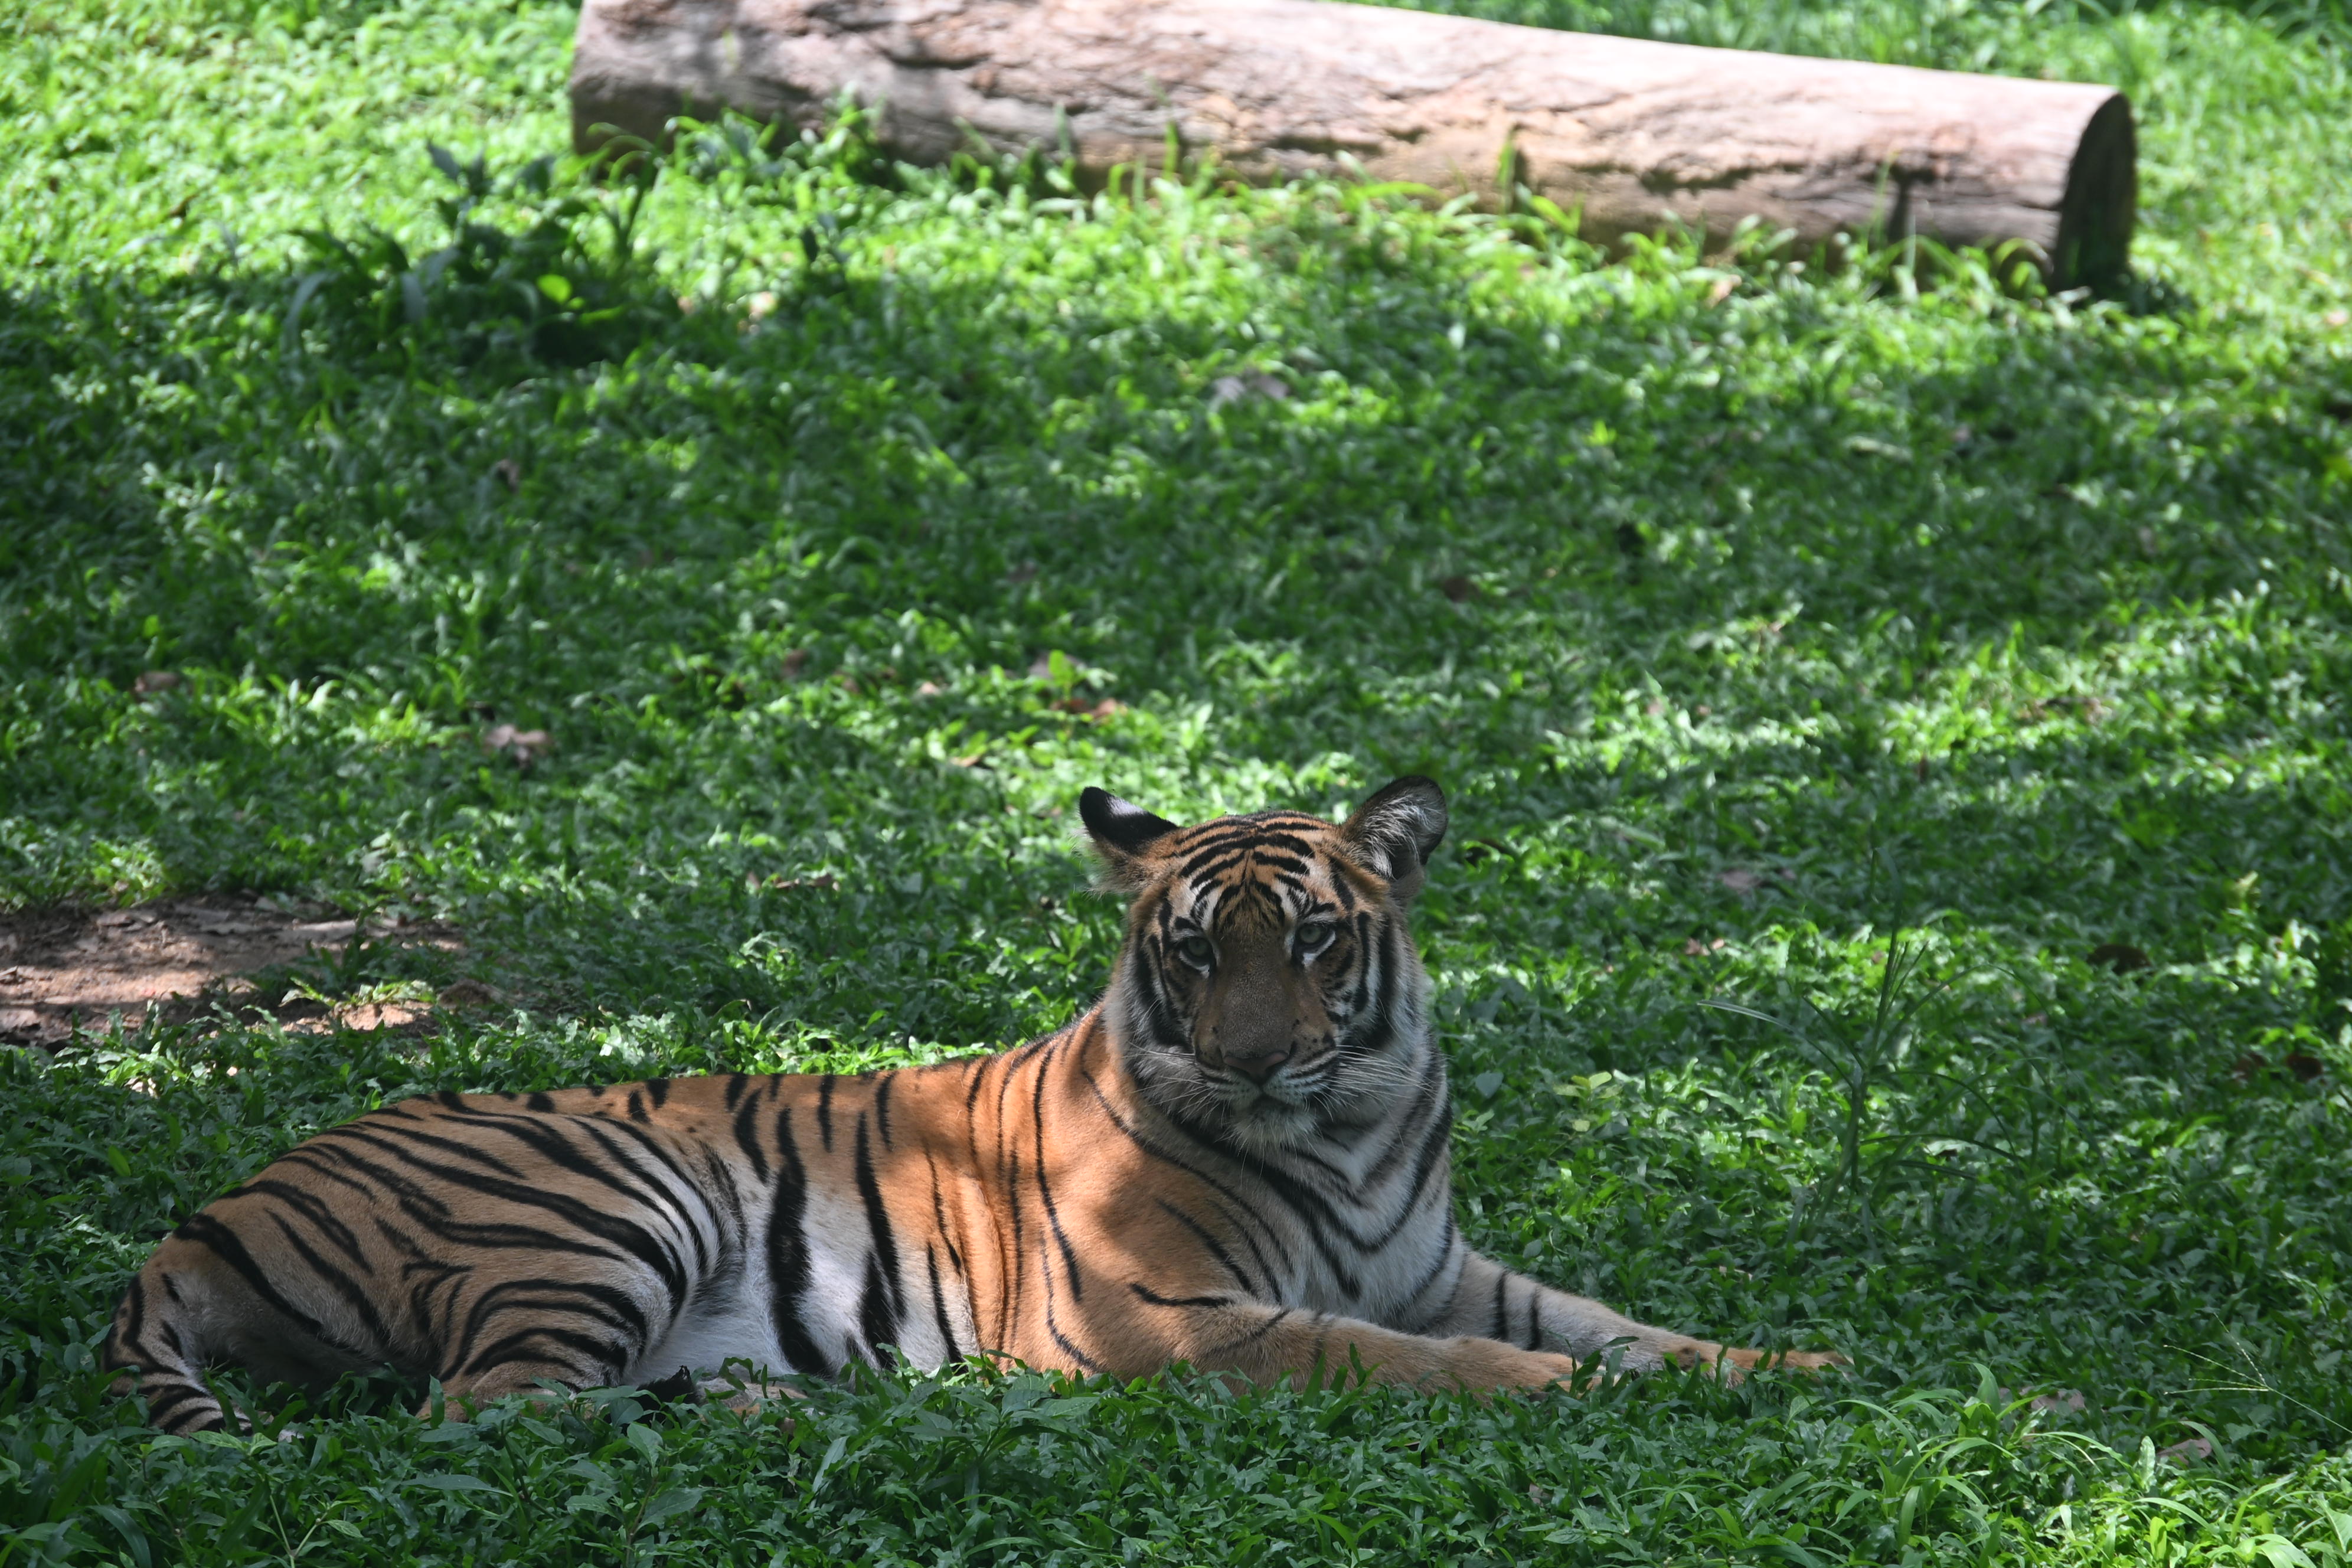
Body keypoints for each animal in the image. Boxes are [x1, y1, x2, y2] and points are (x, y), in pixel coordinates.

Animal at [106, 776, 1842, 1432]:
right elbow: (1410, 1360)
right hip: (607, 1198)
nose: (1255, 1060)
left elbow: (1614, 1321)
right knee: (491, 1413)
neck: (1344, 1132)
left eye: (1315, 941)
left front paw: (1790, 1365)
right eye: (1195, 951)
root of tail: (205, 1213)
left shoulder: (1438, 1264)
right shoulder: (1171, 1314)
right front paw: (1564, 1397)